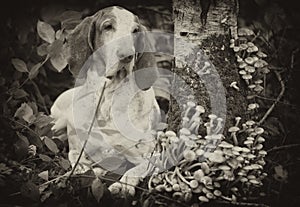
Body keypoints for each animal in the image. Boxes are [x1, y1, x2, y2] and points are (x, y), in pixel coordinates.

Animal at [50, 6, 161, 196]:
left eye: (135, 31)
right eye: (108, 27)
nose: (127, 56)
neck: (108, 96)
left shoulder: (151, 154)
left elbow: (135, 169)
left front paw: (123, 185)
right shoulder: (79, 150)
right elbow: (79, 162)